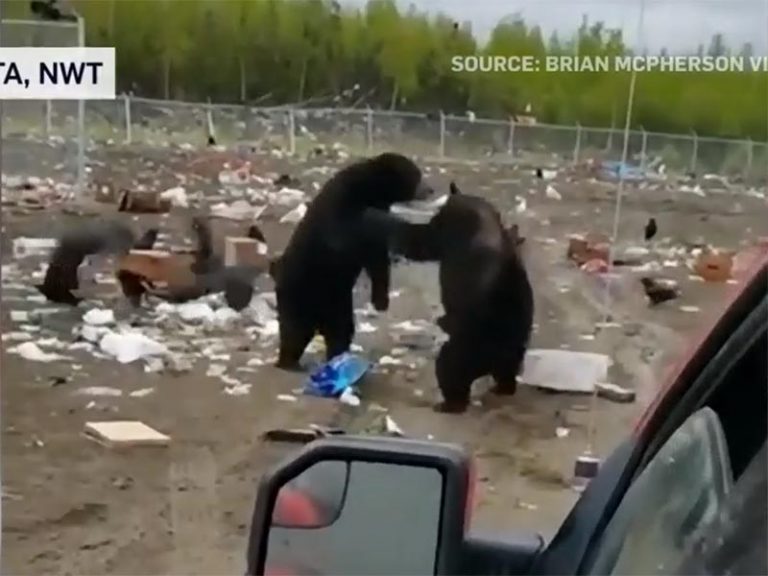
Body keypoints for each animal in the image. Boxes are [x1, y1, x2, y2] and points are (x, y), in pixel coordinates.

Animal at [270, 152, 433, 371]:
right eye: (417, 174)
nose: (430, 189)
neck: (373, 189)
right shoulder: (342, 199)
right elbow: (345, 235)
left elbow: (377, 259)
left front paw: (381, 300)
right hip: (300, 292)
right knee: (295, 329)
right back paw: (288, 361)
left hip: (338, 301)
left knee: (340, 328)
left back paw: (337, 356)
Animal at [380, 181, 535, 413]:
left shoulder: (442, 234)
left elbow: (421, 244)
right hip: (513, 349)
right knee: (507, 375)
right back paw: (502, 388)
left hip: (463, 350)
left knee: (451, 373)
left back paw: (447, 403)